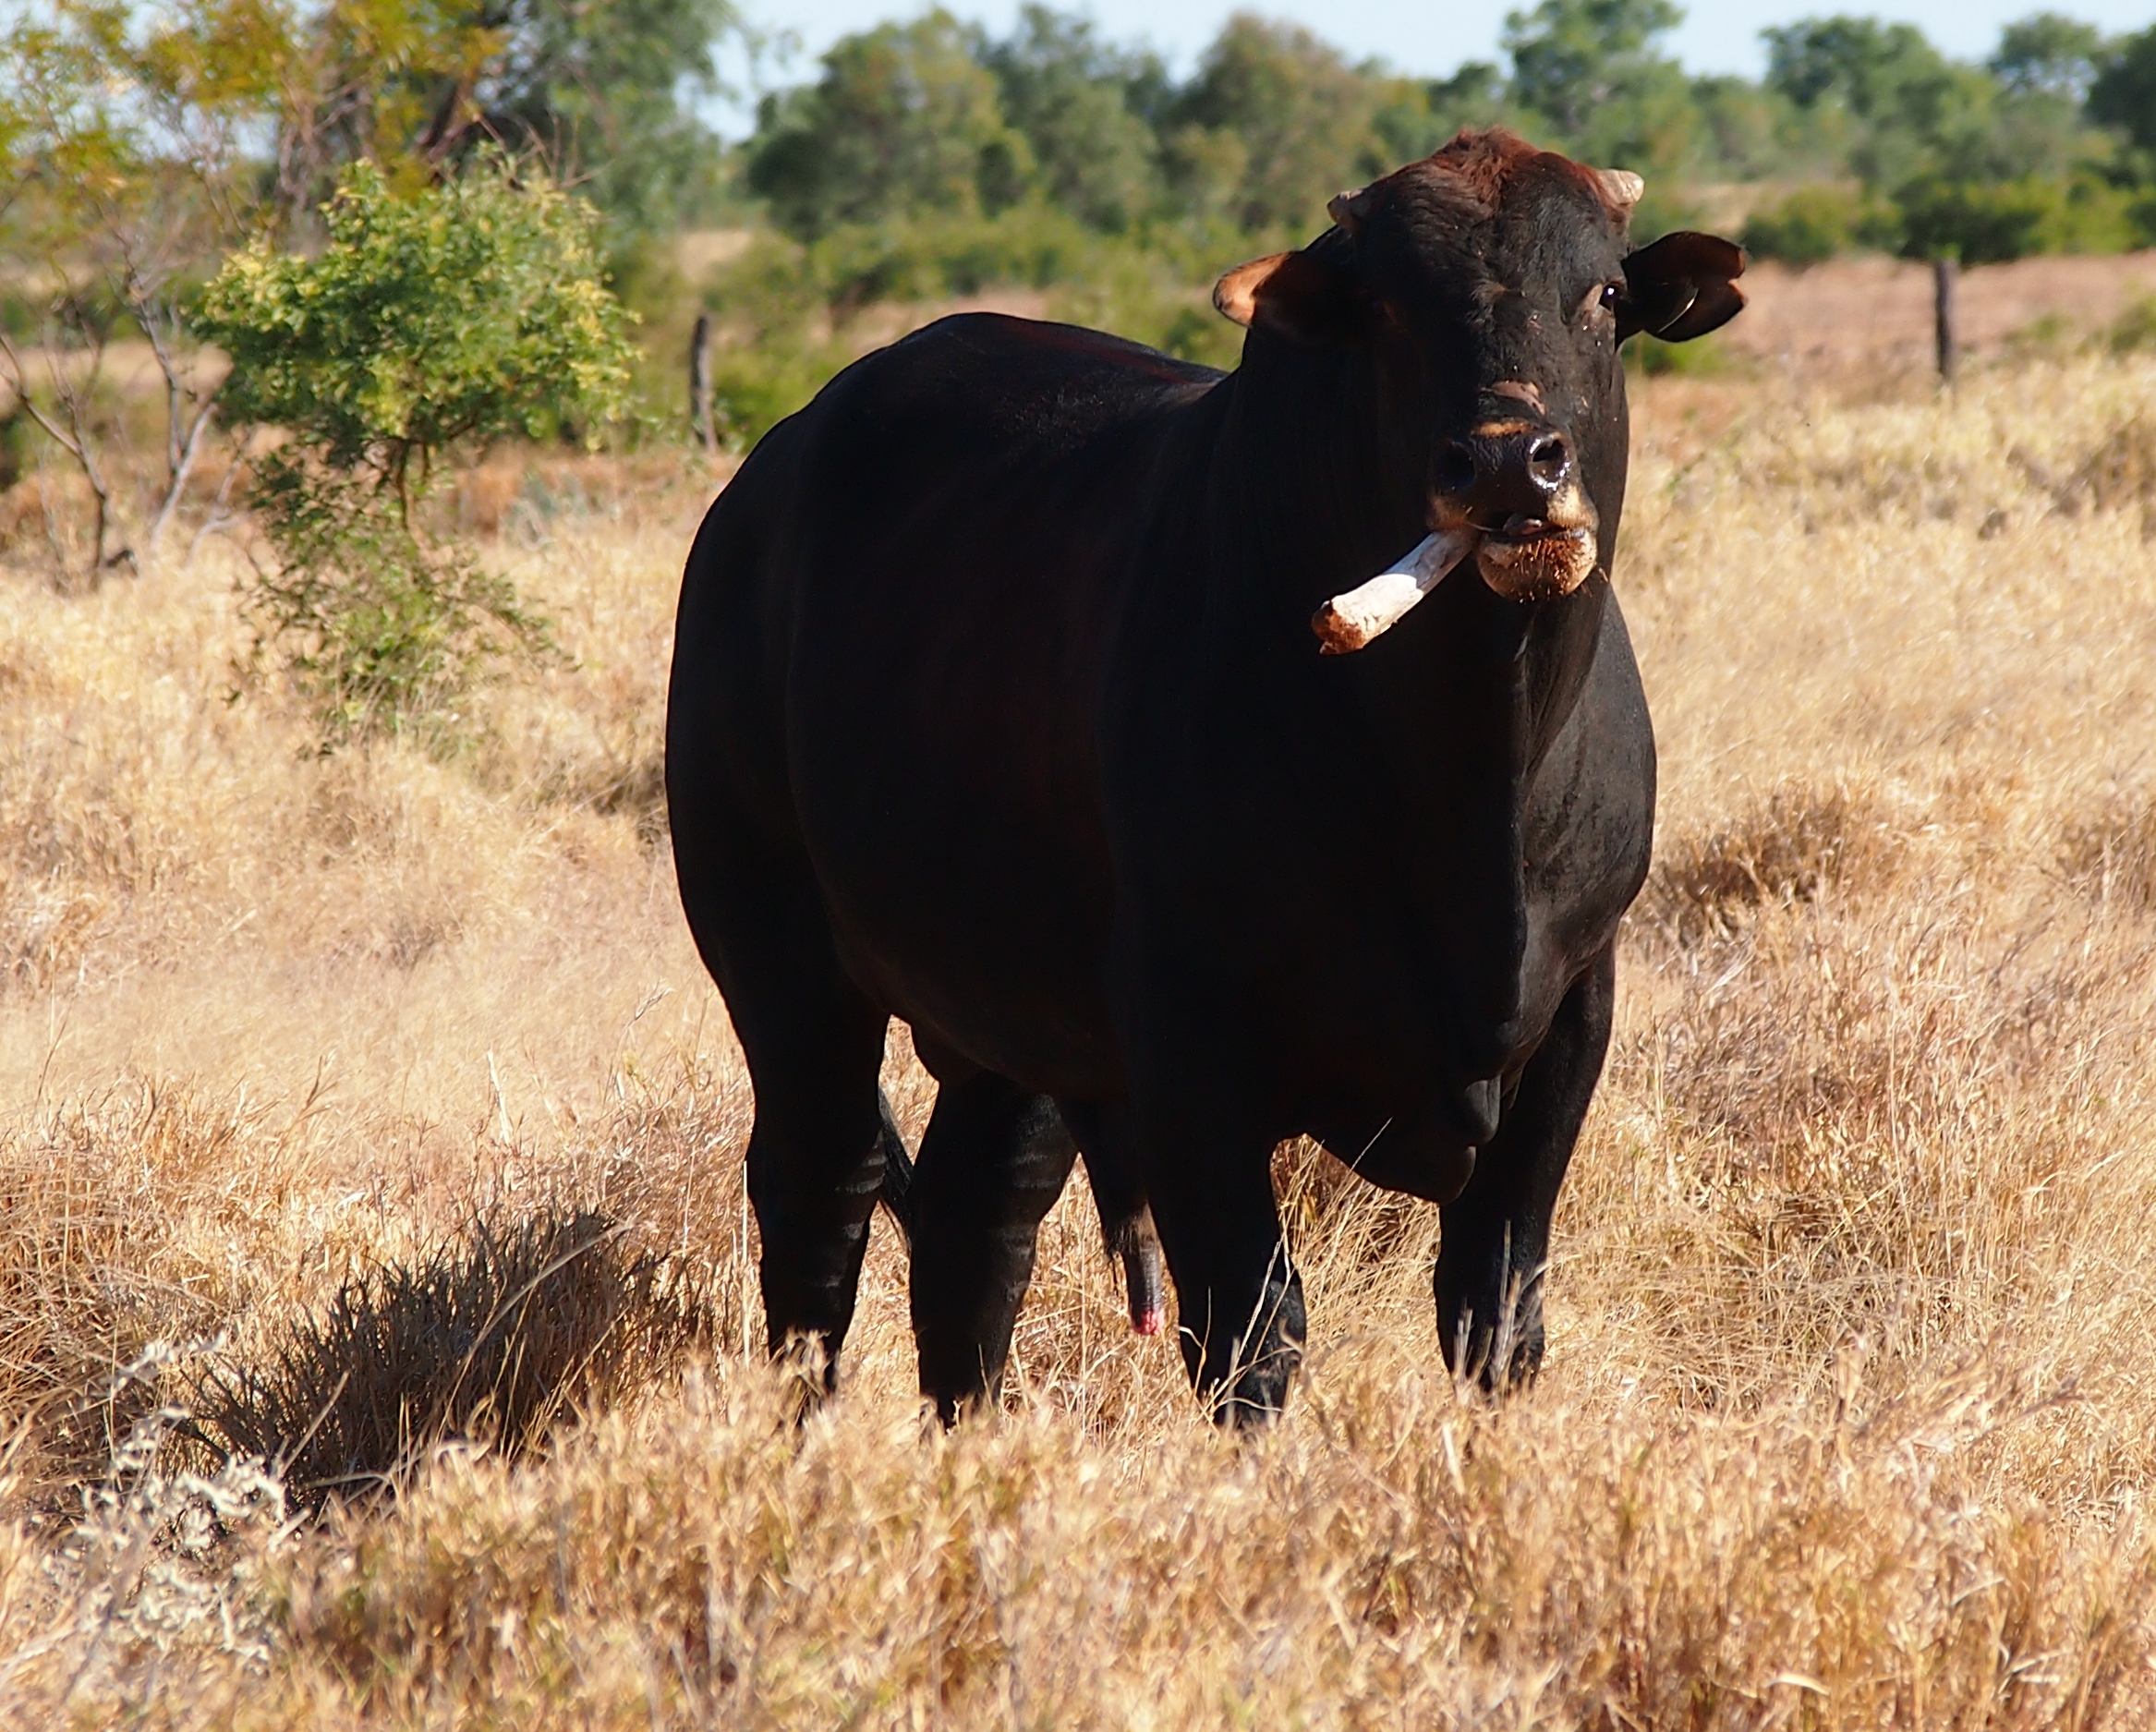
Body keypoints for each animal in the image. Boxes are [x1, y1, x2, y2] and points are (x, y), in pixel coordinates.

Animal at [663, 132, 1741, 1423]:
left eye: (1608, 295)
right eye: (1384, 308)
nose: (1504, 466)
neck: (1473, 784)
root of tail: (761, 484)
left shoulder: (1574, 1010)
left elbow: (1496, 1314)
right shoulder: (1188, 1047)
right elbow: (1252, 1335)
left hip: (1008, 1009)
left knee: (979, 1222)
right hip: (779, 956)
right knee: (820, 1195)